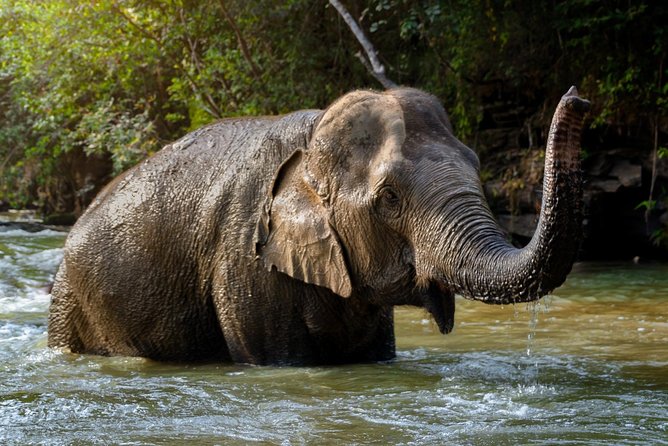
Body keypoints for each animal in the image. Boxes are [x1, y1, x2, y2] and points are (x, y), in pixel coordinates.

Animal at [48, 86, 588, 366]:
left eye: (477, 166)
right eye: (388, 198)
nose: (578, 98)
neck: (310, 143)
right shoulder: (245, 257)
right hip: (71, 307)